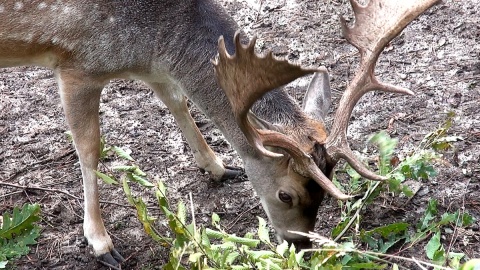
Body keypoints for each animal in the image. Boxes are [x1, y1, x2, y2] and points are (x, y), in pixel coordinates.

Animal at [0, 0, 438, 268]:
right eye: (286, 194)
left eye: (326, 187)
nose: (300, 245)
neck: (150, 34)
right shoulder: (77, 64)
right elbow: (90, 149)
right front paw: (101, 243)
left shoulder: (152, 63)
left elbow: (176, 99)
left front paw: (217, 167)